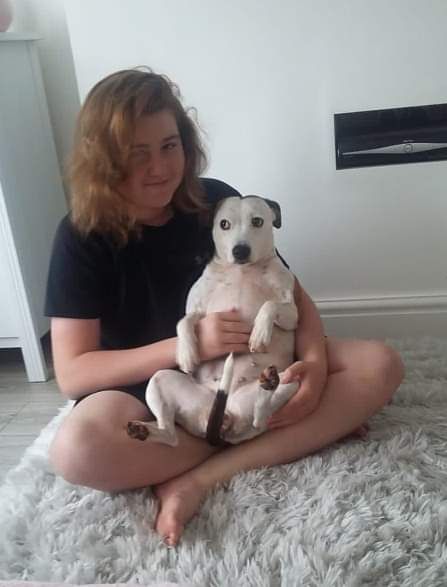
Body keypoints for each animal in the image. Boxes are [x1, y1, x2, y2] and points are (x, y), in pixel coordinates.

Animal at [127, 195, 300, 446]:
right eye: (224, 224)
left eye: (257, 221)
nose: (240, 250)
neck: (242, 271)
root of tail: (226, 420)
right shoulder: (195, 309)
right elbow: (183, 322)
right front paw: (187, 354)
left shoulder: (292, 313)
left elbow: (270, 305)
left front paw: (259, 333)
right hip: (159, 379)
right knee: (170, 435)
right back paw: (144, 431)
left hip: (293, 380)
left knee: (261, 418)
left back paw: (268, 385)